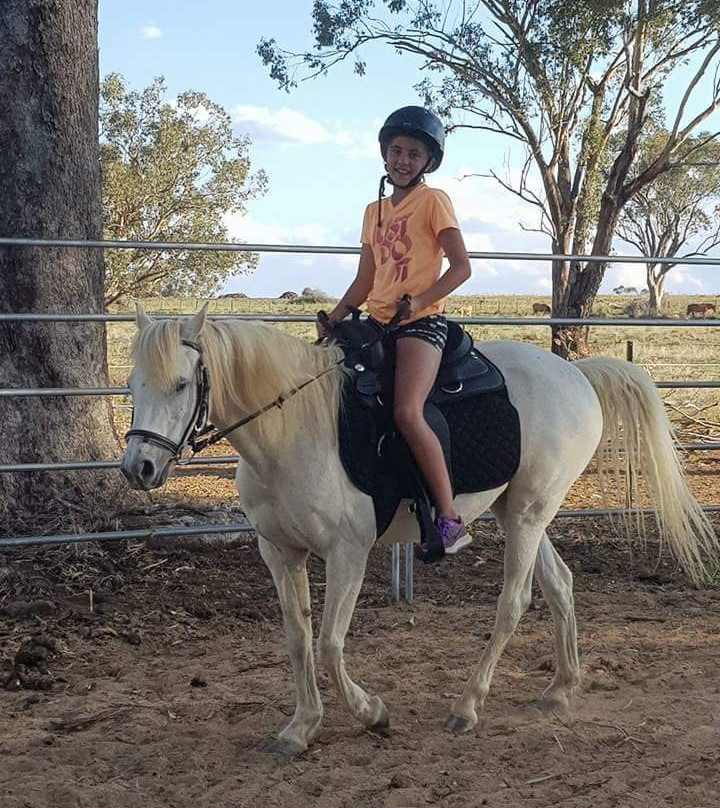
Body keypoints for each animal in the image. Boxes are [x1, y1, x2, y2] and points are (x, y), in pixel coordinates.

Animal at [120, 304, 718, 756]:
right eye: (132, 384)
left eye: (181, 384)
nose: (138, 468)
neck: (291, 431)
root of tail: (576, 374)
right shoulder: (280, 552)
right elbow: (297, 640)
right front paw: (300, 728)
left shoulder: (348, 553)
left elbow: (329, 644)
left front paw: (371, 713)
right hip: (520, 511)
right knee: (561, 584)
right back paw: (560, 689)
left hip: (530, 513)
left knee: (515, 601)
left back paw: (467, 706)